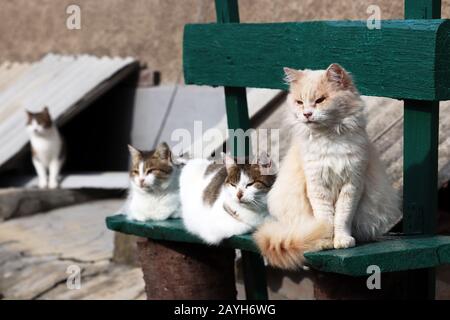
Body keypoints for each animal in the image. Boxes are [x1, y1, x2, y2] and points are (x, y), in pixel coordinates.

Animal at [255, 63, 402, 268]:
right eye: (300, 102)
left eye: (320, 100)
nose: (307, 114)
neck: (329, 138)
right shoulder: (316, 185)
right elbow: (325, 219)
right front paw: (324, 241)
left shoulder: (352, 185)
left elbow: (341, 218)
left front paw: (342, 240)